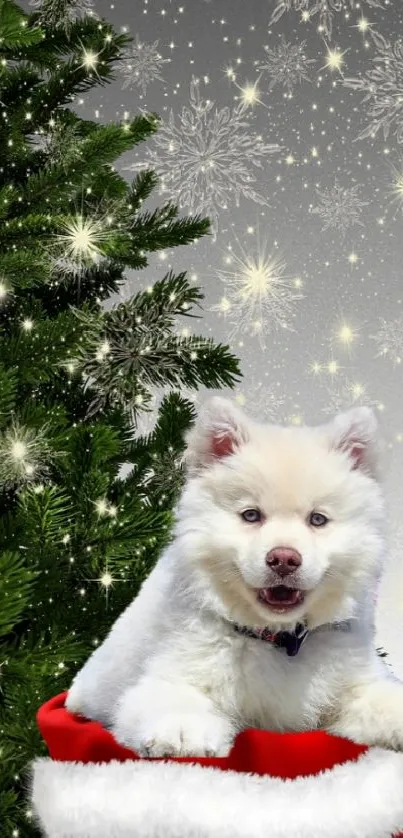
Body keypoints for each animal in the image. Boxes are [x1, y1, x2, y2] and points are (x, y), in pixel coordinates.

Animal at [66, 400, 403, 760]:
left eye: (317, 520)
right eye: (251, 515)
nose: (284, 559)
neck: (278, 640)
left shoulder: (356, 684)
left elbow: (382, 699)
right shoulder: (173, 671)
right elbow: (171, 698)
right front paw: (182, 732)